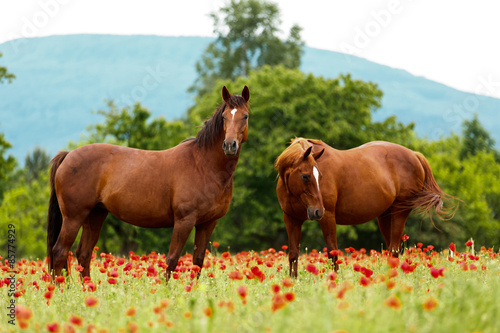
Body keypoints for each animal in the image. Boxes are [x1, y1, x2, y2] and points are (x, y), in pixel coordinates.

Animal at [47, 85, 250, 280]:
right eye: (224, 116)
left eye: (245, 116)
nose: (229, 145)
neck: (202, 165)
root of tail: (68, 155)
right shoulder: (184, 221)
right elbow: (172, 260)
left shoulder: (207, 223)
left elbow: (197, 262)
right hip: (74, 217)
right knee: (60, 252)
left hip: (95, 215)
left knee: (83, 254)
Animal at [276, 137, 456, 278]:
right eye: (305, 176)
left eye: (319, 175)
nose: (317, 211)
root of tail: (414, 154)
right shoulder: (291, 219)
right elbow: (293, 253)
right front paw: (292, 281)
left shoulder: (328, 217)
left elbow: (332, 252)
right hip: (385, 216)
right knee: (392, 249)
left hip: (399, 212)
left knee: (394, 249)